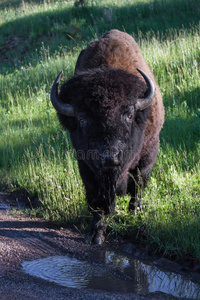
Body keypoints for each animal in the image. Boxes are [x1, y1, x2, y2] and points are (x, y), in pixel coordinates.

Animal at [50, 28, 164, 244]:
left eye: (129, 115)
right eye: (82, 119)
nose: (109, 157)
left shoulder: (148, 154)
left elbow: (138, 184)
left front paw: (134, 212)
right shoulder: (86, 166)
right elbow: (97, 199)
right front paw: (96, 234)